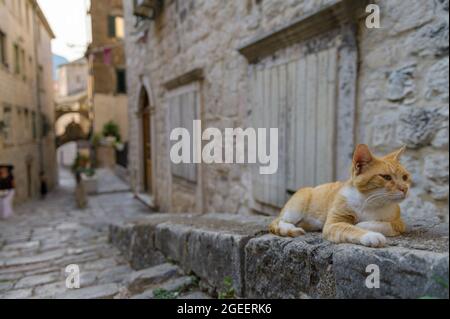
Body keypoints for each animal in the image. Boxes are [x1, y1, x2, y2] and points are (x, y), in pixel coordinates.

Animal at [270, 144, 412, 249]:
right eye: (386, 177)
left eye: (405, 177)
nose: (404, 188)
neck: (370, 202)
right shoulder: (334, 223)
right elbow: (348, 228)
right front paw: (370, 235)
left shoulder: (399, 223)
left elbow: (383, 224)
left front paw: (362, 224)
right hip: (295, 208)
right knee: (278, 221)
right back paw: (290, 228)